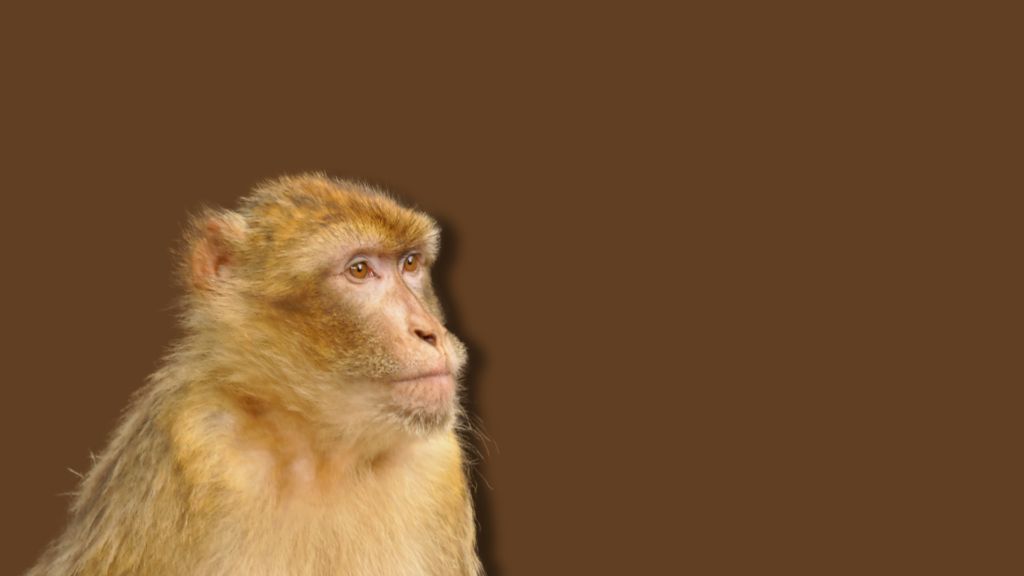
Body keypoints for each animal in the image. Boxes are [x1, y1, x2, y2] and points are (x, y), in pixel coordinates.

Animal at [25, 174, 483, 576]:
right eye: (359, 270)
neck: (321, 454)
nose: (429, 331)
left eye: (411, 263)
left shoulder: (437, 468)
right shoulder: (194, 444)